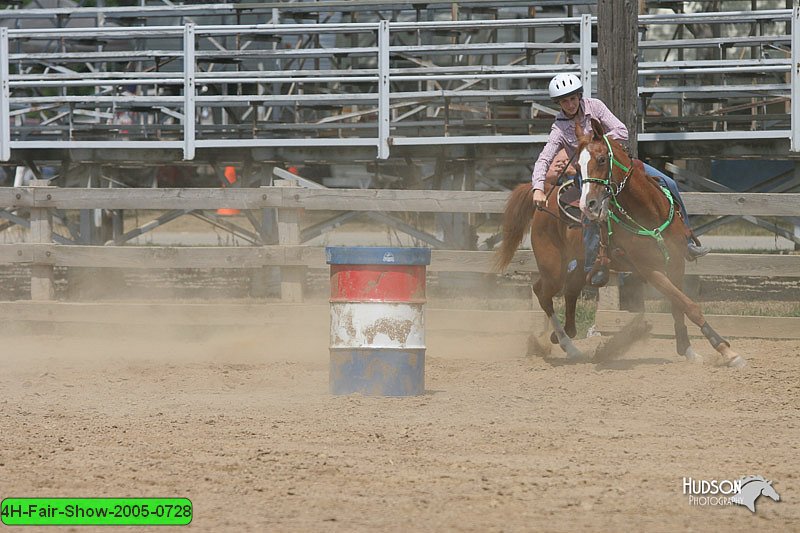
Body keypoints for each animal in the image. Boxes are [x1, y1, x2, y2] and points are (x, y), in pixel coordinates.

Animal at [496, 117, 748, 366]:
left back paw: (564, 336)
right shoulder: (649, 270)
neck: (648, 212)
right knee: (542, 293)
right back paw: (570, 347)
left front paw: (687, 350)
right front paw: (726, 350)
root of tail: (543, 196)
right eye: (577, 166)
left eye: (601, 159)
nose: (588, 205)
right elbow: (688, 305)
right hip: (553, 267)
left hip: (579, 264)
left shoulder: (677, 263)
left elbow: (679, 306)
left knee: (569, 291)